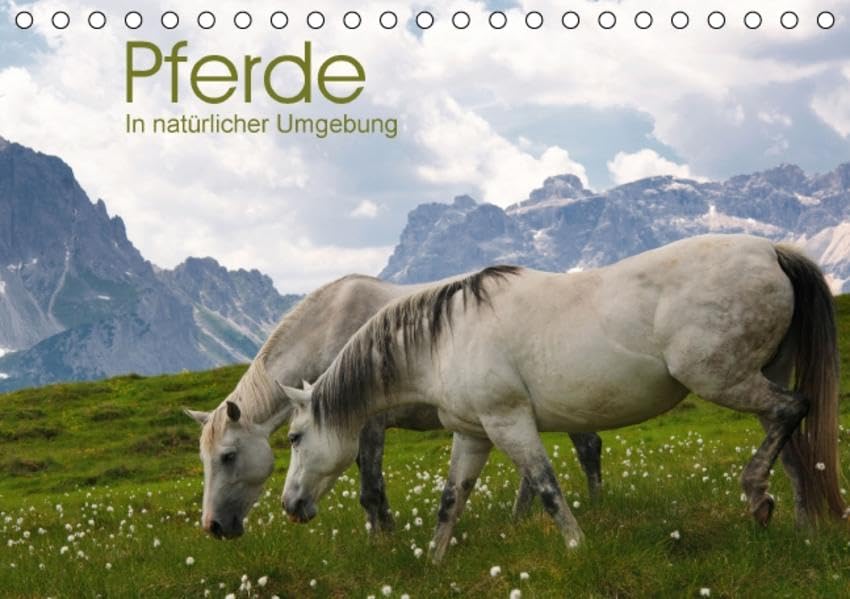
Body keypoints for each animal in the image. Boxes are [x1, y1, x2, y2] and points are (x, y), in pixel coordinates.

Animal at [184, 272, 604, 539]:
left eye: (228, 456)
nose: (213, 527)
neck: (332, 331)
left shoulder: (367, 427)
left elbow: (370, 490)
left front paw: (381, 543)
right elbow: (375, 491)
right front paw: (386, 531)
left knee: (587, 448)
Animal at [281, 234, 846, 563]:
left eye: (294, 437)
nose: (290, 505)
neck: (445, 338)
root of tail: (771, 251)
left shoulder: (509, 422)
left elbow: (546, 485)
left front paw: (577, 548)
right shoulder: (473, 434)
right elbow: (450, 500)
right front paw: (434, 563)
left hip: (722, 379)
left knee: (794, 409)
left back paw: (755, 493)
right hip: (758, 375)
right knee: (791, 445)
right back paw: (798, 527)